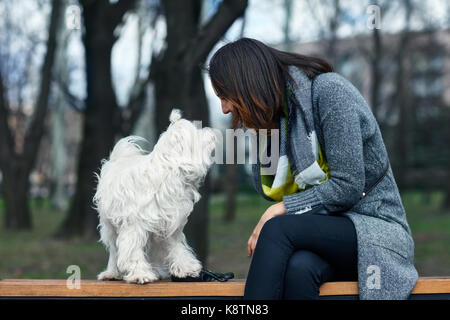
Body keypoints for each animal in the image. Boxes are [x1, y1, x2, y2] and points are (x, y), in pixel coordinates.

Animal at [93, 109, 216, 284]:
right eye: (196, 131)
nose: (210, 131)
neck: (170, 171)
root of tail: (118, 159)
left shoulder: (169, 224)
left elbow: (176, 248)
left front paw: (186, 268)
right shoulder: (134, 225)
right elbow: (132, 251)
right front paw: (140, 274)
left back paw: (156, 270)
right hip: (109, 224)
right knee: (114, 250)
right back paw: (111, 273)